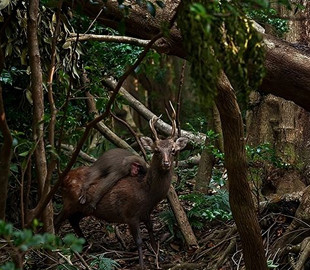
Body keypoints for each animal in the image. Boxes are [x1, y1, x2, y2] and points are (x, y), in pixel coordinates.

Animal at [54, 106, 188, 268]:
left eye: (173, 150)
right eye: (156, 150)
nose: (166, 163)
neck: (147, 194)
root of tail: (62, 178)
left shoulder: (146, 213)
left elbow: (151, 234)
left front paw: (159, 257)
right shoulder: (130, 214)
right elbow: (139, 241)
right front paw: (142, 265)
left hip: (81, 208)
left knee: (73, 220)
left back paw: (86, 244)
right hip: (69, 202)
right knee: (56, 220)